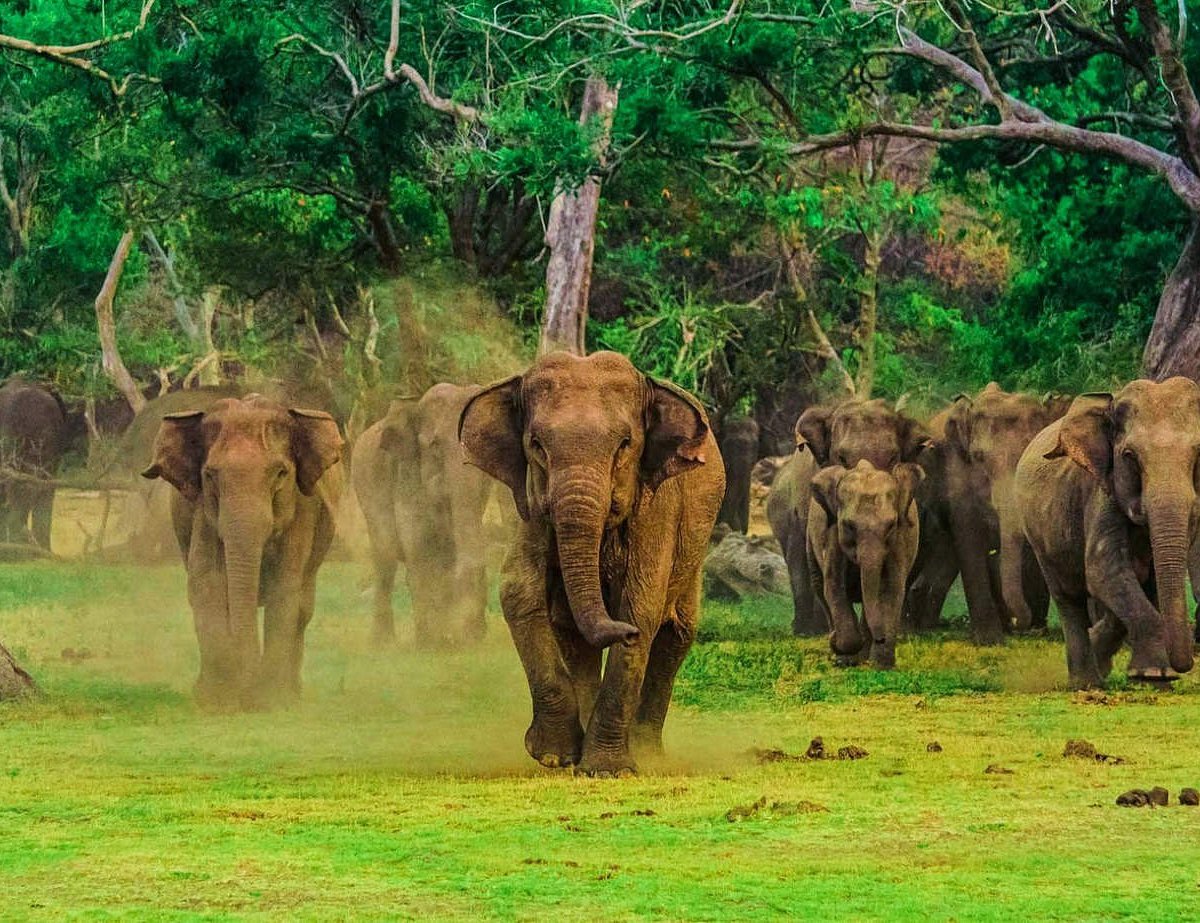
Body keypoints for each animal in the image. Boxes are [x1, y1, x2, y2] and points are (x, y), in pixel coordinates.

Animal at [142, 395, 344, 711]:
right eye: (210, 475)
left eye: (281, 473)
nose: (246, 693)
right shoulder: (203, 510)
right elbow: (207, 582)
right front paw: (217, 701)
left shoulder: (303, 507)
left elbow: (285, 586)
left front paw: (270, 701)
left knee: (303, 607)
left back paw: (292, 693)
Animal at [353, 383, 496, 647]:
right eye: (435, 446)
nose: (476, 634)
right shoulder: (406, 473)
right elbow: (418, 544)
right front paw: (431, 645)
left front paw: (456, 638)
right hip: (365, 486)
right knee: (386, 559)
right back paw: (383, 642)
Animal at [459, 351, 724, 776]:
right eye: (536, 445)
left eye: (625, 444)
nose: (622, 633)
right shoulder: (531, 508)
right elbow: (518, 592)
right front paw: (553, 756)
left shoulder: (657, 507)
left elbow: (640, 606)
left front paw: (608, 770)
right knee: (573, 635)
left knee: (676, 634)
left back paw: (647, 753)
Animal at [807, 460, 923, 669]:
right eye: (849, 526)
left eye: (891, 525)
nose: (881, 638)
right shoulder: (833, 533)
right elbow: (834, 587)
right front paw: (842, 649)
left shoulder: (899, 540)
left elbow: (891, 588)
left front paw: (882, 666)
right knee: (819, 586)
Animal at [1015, 379, 1199, 688]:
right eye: (1129, 457)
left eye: (1198, 456)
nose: (1185, 666)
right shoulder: (1101, 494)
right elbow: (1104, 569)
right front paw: (1153, 675)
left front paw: (1154, 675)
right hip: (1040, 536)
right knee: (1068, 597)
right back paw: (1086, 682)